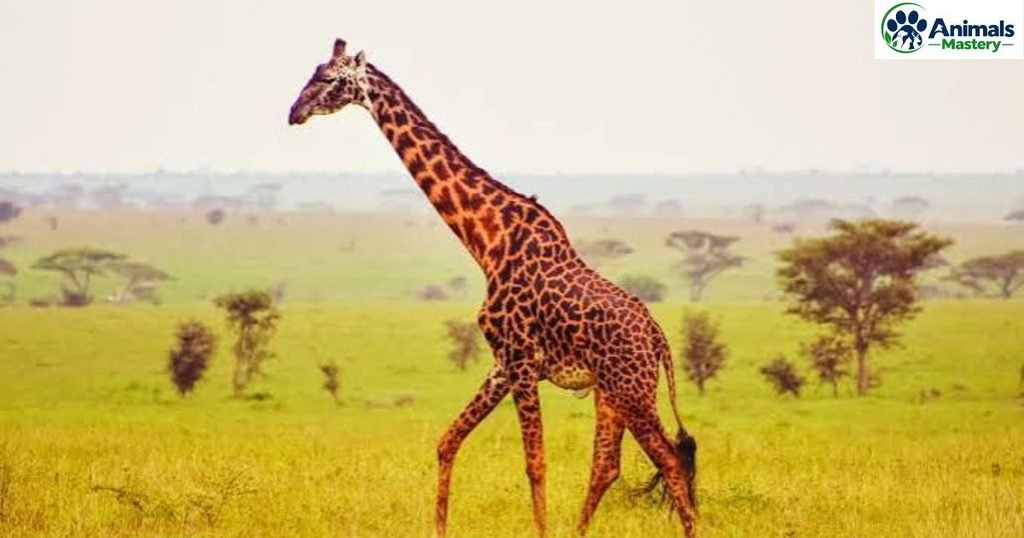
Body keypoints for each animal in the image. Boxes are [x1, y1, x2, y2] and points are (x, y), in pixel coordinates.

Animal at [289, 39, 698, 537]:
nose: (294, 112)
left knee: (671, 459)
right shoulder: (501, 363)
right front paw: (439, 528)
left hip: (632, 389)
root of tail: (658, 338)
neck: (488, 240)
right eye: (313, 71)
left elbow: (535, 463)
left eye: (329, 79)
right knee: (608, 465)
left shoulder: (521, 359)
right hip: (611, 391)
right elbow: (447, 441)